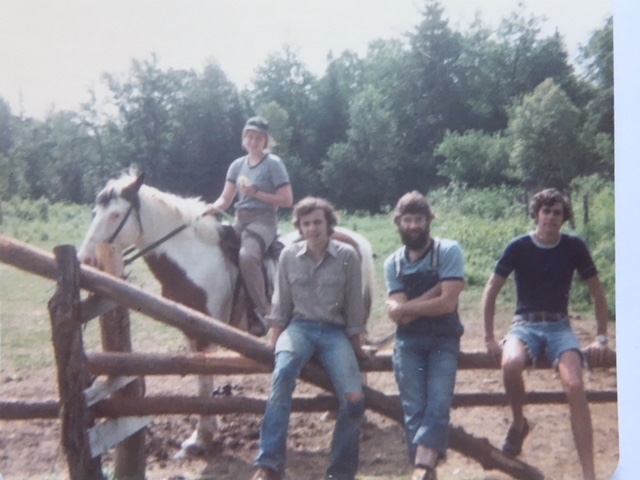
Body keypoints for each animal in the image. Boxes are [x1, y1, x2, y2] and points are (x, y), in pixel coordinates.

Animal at [76, 172, 376, 458]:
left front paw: (200, 440)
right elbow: (201, 379)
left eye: (115, 215)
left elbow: (204, 383)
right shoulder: (190, 330)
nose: (86, 259)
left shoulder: (203, 334)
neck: (194, 258)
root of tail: (356, 240)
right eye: (93, 212)